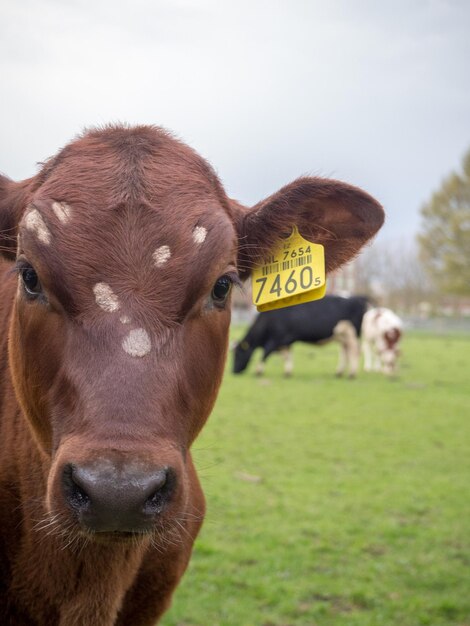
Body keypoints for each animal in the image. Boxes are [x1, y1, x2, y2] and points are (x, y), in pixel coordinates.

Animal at [233, 294, 370, 376]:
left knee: (354, 351)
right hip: (342, 336)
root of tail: (358, 298)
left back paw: (352, 374)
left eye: (238, 354)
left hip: (352, 334)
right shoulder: (285, 341)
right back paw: (340, 372)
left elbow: (265, 354)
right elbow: (287, 356)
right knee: (345, 352)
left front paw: (258, 371)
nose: (233, 371)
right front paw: (287, 372)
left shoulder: (276, 339)